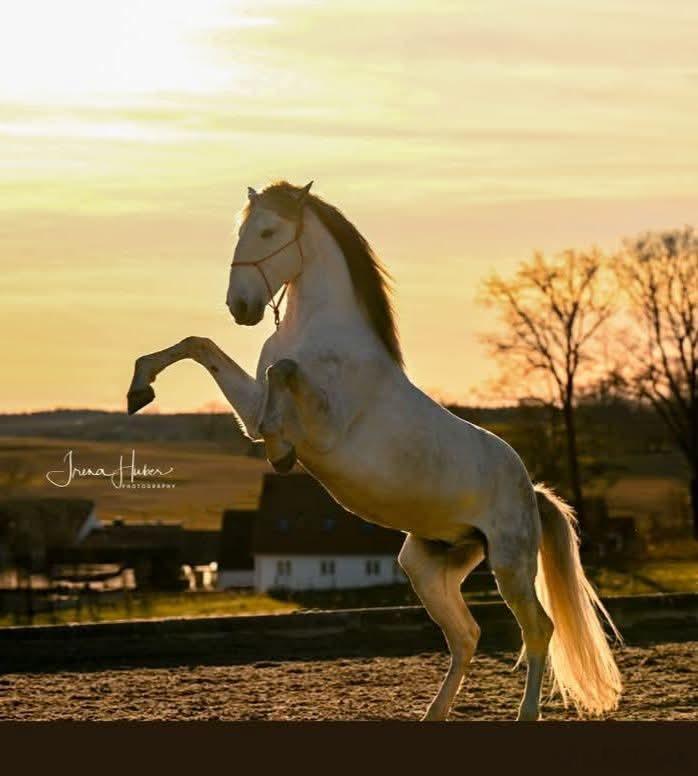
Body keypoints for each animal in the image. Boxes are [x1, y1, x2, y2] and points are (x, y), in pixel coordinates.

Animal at [127, 180, 621, 720]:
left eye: (269, 231)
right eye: (242, 230)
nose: (241, 306)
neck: (319, 333)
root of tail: (531, 489)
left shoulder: (322, 429)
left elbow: (282, 371)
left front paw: (280, 452)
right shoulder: (252, 409)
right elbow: (201, 346)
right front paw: (139, 389)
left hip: (510, 563)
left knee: (538, 629)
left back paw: (525, 714)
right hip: (429, 565)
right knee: (467, 635)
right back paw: (434, 714)